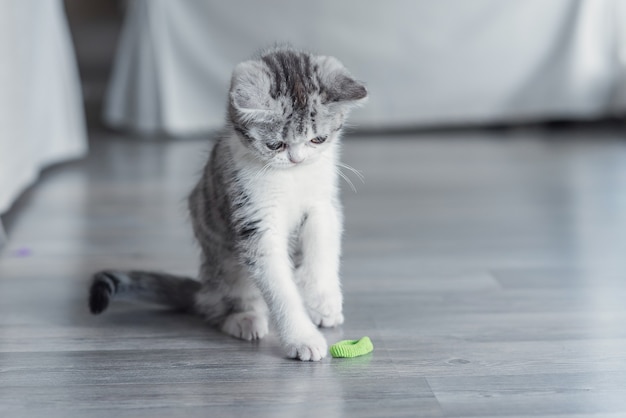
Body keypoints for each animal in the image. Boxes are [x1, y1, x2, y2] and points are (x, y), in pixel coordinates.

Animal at [90, 45, 368, 360]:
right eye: (276, 145)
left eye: (318, 139)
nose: (297, 159)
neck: (291, 178)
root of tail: (203, 288)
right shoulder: (254, 217)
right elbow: (280, 286)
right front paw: (302, 338)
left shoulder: (323, 203)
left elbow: (323, 248)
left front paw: (324, 301)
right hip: (226, 263)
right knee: (218, 305)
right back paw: (244, 320)